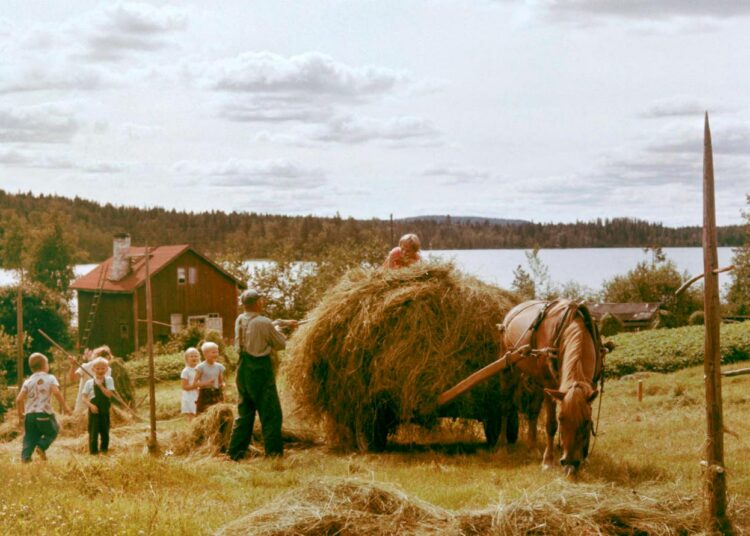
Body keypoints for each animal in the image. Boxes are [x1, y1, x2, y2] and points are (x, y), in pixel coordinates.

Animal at [500, 300, 612, 476]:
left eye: (586, 422)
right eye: (561, 419)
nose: (570, 463)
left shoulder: (591, 386)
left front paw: (585, 458)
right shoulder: (549, 385)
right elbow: (550, 425)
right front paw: (548, 461)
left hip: (536, 379)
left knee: (533, 412)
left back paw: (532, 448)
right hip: (509, 368)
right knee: (505, 405)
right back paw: (502, 446)